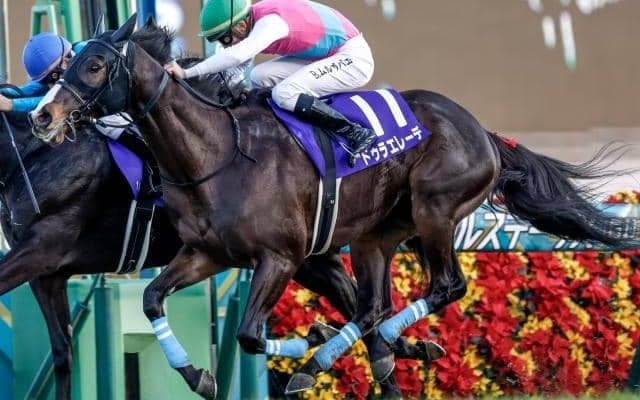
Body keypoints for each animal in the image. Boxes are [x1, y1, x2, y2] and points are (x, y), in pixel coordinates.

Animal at [30, 15, 640, 398]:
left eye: (94, 66)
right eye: (66, 65)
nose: (42, 116)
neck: (217, 152)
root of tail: (485, 133)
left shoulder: (280, 258)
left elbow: (249, 334)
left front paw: (310, 343)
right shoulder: (208, 254)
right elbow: (153, 299)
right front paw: (200, 375)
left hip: (435, 211)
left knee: (445, 287)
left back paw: (342, 355)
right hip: (377, 234)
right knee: (371, 308)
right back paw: (371, 348)